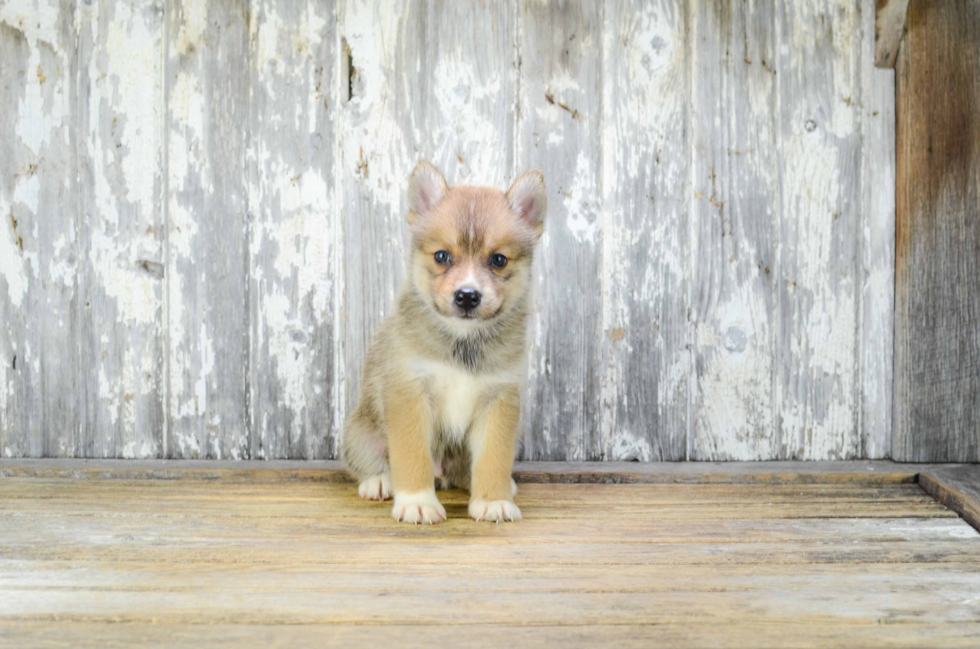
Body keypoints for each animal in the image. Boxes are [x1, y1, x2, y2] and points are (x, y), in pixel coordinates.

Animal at [342, 159, 544, 524]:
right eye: (441, 256)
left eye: (498, 260)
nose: (467, 296)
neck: (461, 342)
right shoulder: (410, 394)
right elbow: (412, 457)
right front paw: (417, 502)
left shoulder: (499, 401)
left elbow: (493, 458)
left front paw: (493, 500)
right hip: (359, 433)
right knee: (369, 461)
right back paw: (379, 482)